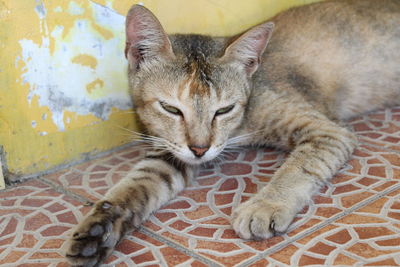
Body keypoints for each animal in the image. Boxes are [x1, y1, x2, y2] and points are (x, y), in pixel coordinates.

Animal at [65, 0, 400, 266]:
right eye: (171, 109)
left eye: (224, 110)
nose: (200, 149)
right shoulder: (168, 153)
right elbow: (131, 187)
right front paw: (97, 231)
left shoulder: (328, 131)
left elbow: (297, 167)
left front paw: (265, 205)